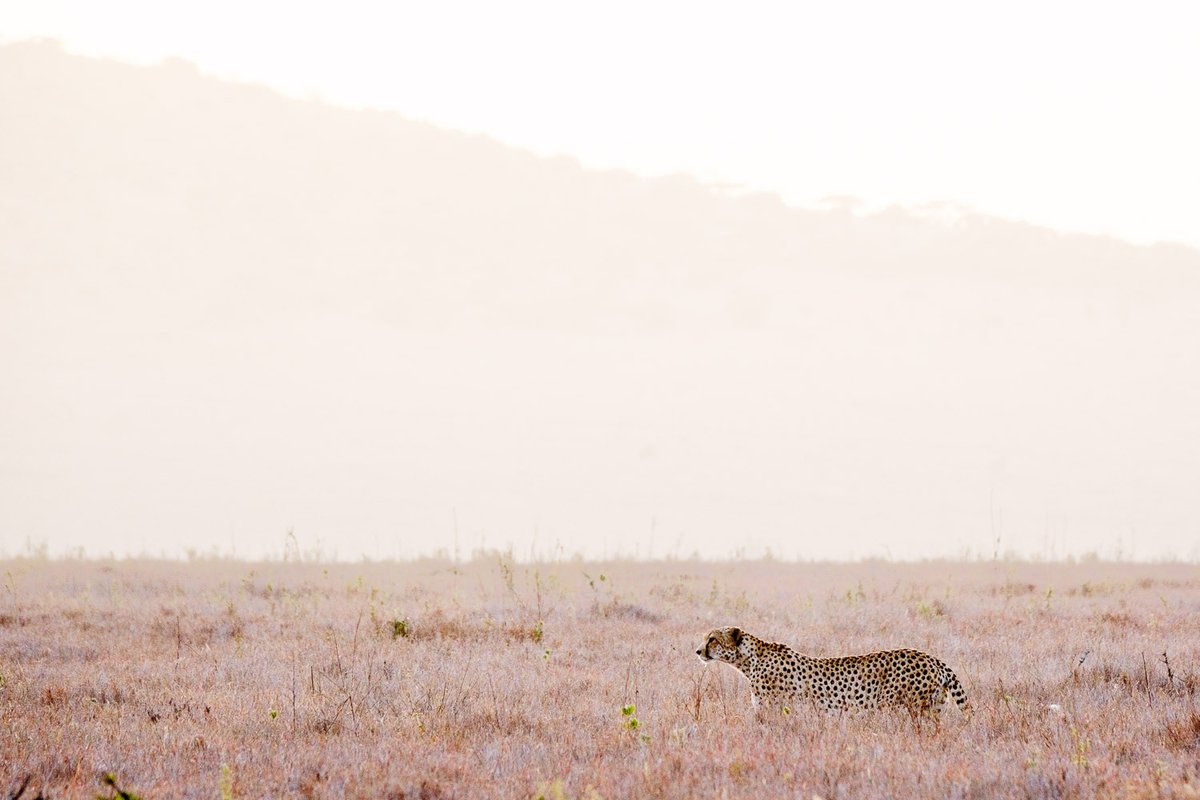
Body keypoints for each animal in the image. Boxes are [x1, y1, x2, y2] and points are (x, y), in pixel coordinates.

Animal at [696, 626, 971, 721]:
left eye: (712, 639)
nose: (698, 651)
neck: (749, 660)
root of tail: (931, 657)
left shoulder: (773, 711)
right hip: (934, 708)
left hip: (913, 709)